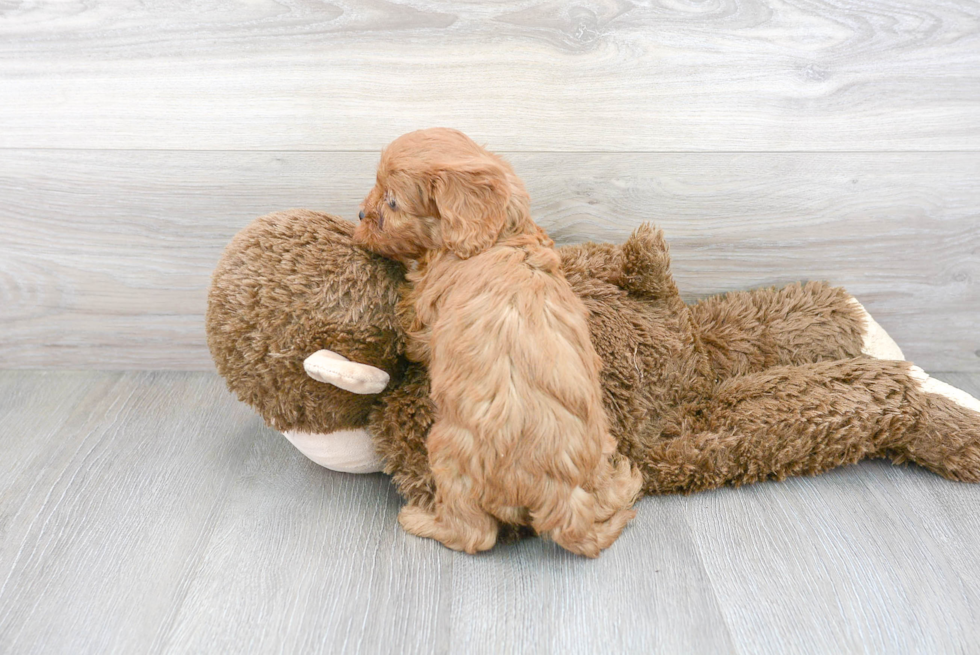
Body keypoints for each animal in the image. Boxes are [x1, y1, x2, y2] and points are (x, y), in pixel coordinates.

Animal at [352, 129, 644, 560]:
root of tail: (559, 492)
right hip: (599, 452)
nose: (359, 215)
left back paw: (423, 521)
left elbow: (412, 325)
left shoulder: (427, 309)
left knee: (474, 534)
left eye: (391, 202)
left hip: (449, 456)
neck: (499, 237)